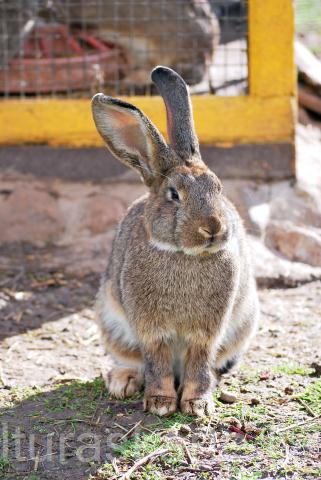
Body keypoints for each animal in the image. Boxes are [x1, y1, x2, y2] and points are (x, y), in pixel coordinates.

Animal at [90, 64, 258, 416]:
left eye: (219, 188)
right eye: (174, 195)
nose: (213, 228)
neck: (183, 253)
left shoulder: (207, 333)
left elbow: (199, 362)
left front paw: (197, 405)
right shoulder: (151, 331)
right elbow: (157, 361)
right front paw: (161, 403)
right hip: (113, 326)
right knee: (132, 361)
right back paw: (123, 382)